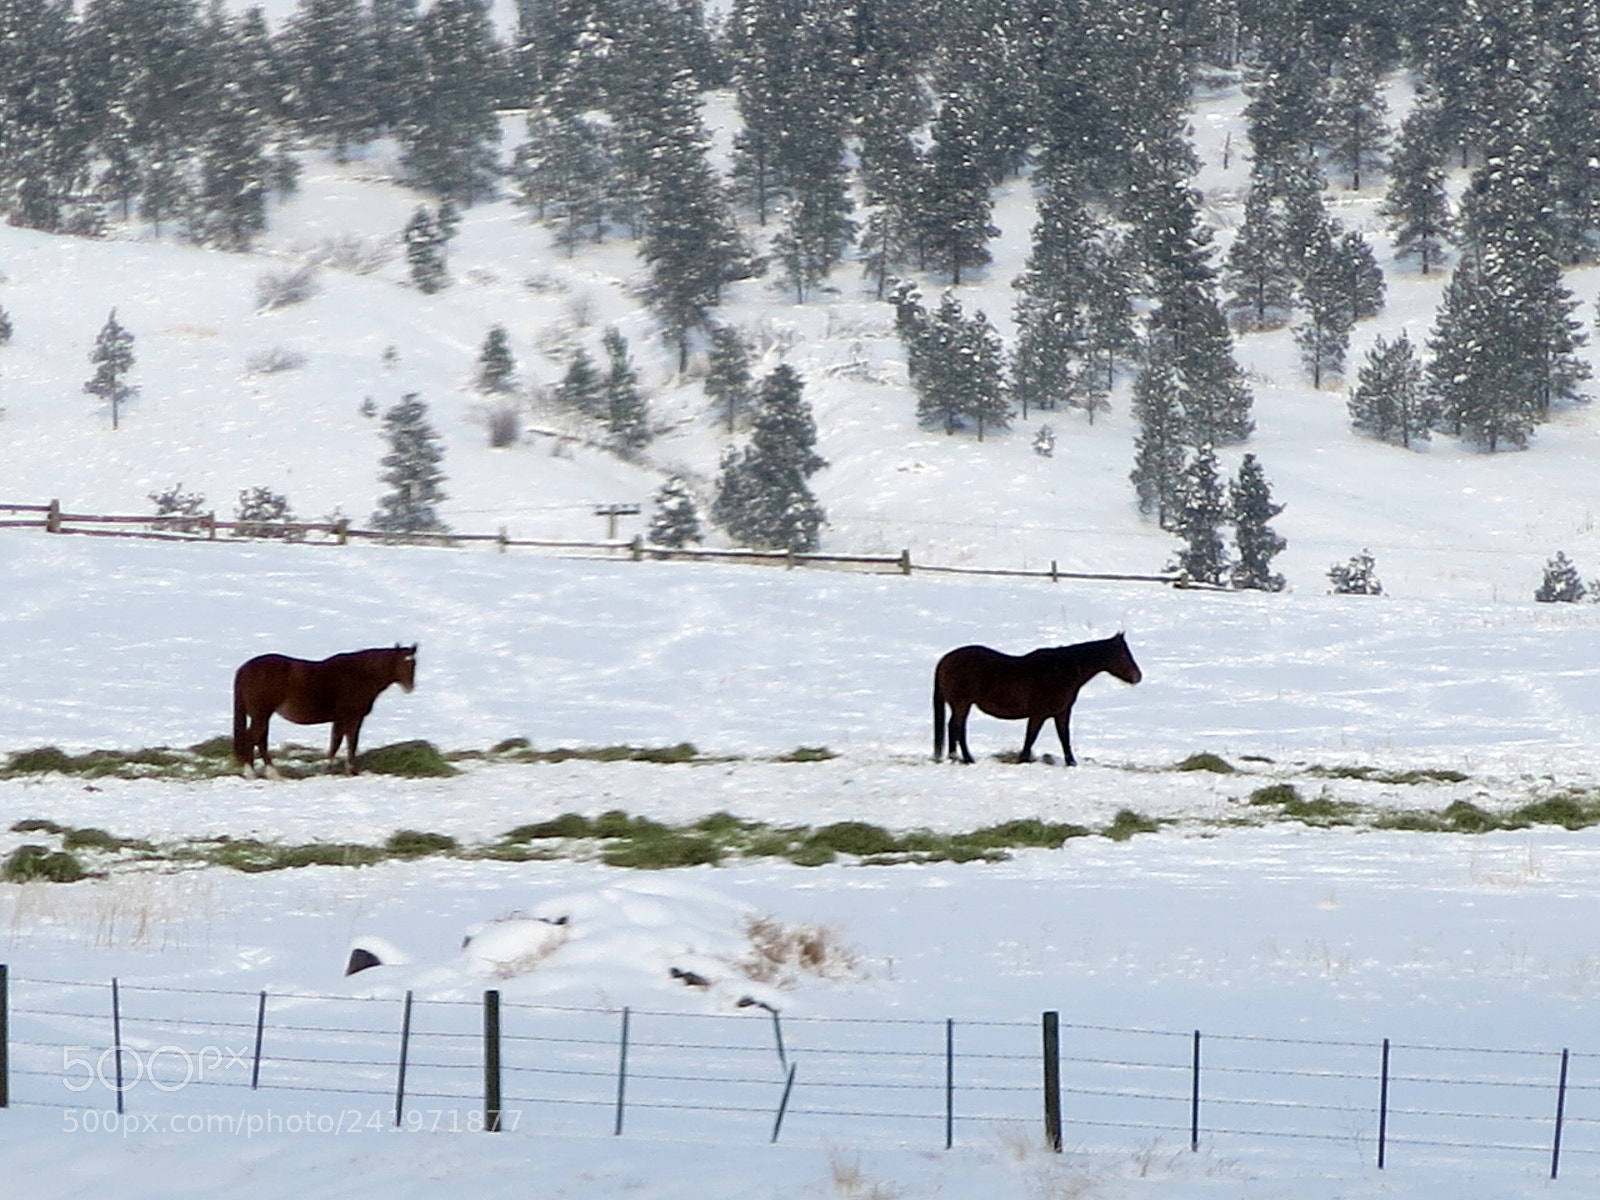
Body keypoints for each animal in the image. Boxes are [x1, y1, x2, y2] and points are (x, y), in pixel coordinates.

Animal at [232, 645, 417, 778]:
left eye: (413, 663)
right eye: (401, 662)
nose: (410, 687)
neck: (361, 674)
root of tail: (245, 669)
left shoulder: (346, 719)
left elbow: (343, 742)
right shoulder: (350, 717)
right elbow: (342, 743)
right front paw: (336, 770)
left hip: (262, 716)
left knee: (260, 740)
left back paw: (272, 774)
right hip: (261, 715)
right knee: (252, 739)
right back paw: (251, 773)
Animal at [933, 634, 1142, 766]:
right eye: (1124, 654)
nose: (1137, 676)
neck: (1061, 672)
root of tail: (945, 659)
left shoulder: (1061, 713)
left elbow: (1064, 737)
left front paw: (1071, 762)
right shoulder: (1038, 715)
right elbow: (1031, 737)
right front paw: (1023, 759)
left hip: (960, 705)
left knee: (952, 726)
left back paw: (954, 757)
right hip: (962, 704)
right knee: (958, 727)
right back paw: (967, 758)